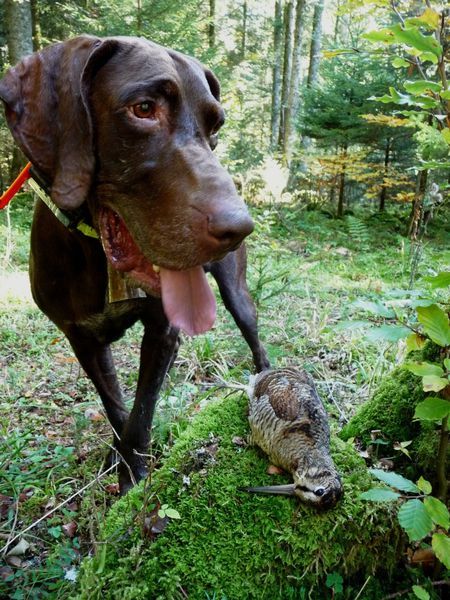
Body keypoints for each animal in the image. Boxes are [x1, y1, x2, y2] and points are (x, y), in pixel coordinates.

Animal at [0, 36, 268, 492]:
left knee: (254, 336)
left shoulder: (162, 330)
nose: (239, 228)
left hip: (237, 294)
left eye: (215, 127)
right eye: (143, 108)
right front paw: (118, 453)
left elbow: (142, 410)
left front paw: (132, 471)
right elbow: (115, 404)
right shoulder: (81, 338)